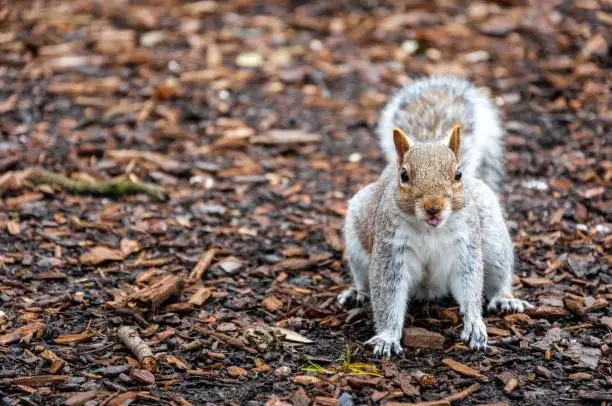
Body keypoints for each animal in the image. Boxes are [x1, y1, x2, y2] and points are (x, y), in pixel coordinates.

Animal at [338, 76, 532, 356]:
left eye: (458, 174)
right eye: (404, 175)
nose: (433, 206)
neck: (429, 230)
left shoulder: (466, 244)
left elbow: (470, 283)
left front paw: (475, 325)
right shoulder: (390, 249)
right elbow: (388, 294)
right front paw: (387, 337)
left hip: (493, 240)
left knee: (498, 274)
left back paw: (505, 299)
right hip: (356, 239)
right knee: (364, 278)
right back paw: (357, 293)